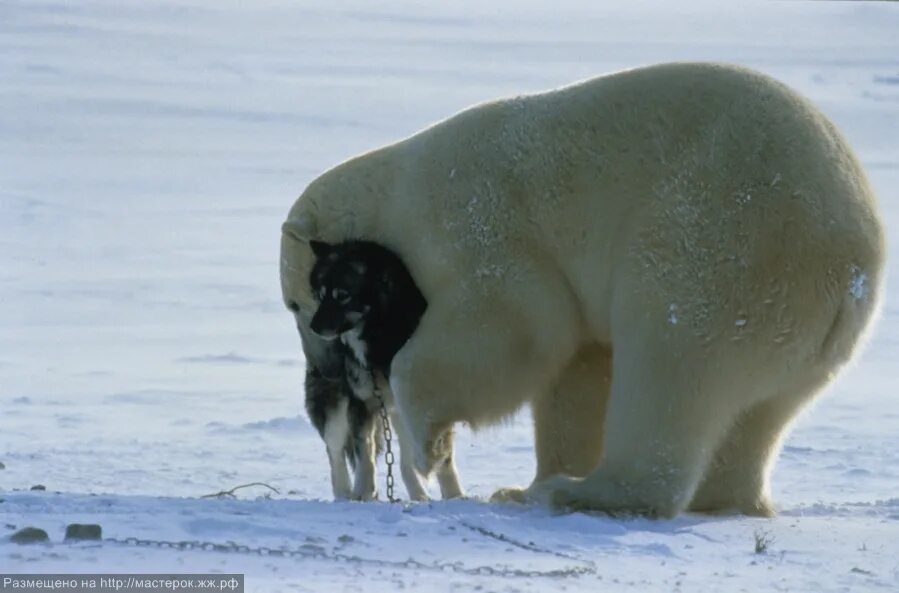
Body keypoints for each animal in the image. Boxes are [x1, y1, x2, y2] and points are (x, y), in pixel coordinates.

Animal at [296, 237, 464, 500]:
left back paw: (419, 494)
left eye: (342, 296)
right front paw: (364, 491)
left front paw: (455, 496)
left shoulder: (427, 401)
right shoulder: (361, 402)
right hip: (334, 404)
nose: (314, 327)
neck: (380, 340)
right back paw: (345, 494)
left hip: (398, 410)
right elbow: (364, 451)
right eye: (321, 295)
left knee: (406, 459)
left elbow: (441, 456)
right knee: (335, 451)